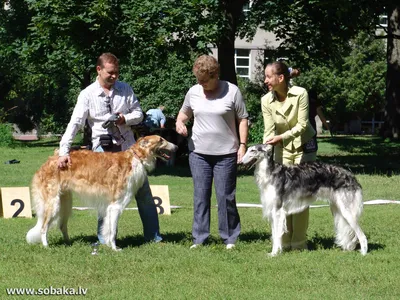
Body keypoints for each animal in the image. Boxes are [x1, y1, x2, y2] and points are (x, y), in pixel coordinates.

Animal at [27, 135, 177, 250]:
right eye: (161, 140)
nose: (176, 147)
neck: (136, 158)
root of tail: (50, 160)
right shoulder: (115, 205)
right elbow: (113, 231)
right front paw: (115, 249)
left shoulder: (110, 207)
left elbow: (108, 229)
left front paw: (109, 246)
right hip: (53, 204)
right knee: (43, 227)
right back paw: (46, 246)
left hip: (65, 203)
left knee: (62, 225)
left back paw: (69, 243)